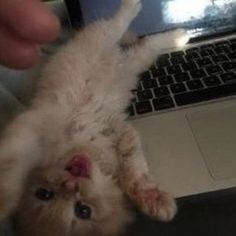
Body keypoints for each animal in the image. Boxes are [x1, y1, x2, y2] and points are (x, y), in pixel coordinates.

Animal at [0, 0, 188, 235]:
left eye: (44, 193)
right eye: (83, 210)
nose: (71, 183)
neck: (82, 146)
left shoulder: (38, 120)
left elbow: (12, 156)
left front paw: (5, 192)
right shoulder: (120, 132)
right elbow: (134, 171)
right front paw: (151, 199)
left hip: (100, 37)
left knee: (117, 23)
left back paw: (134, 7)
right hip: (134, 60)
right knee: (146, 44)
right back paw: (178, 36)